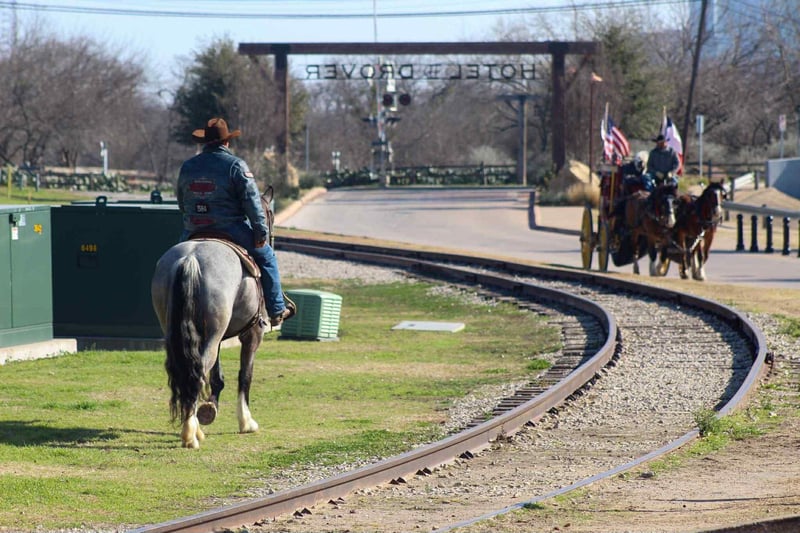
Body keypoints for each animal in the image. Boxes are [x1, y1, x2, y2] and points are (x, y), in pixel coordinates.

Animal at [150, 187, 274, 449]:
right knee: (198, 373)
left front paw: (210, 407)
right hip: (216, 333)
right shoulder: (252, 334)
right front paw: (246, 422)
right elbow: (245, 375)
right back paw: (191, 434)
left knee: (188, 370)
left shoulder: (218, 336)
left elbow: (217, 376)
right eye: (269, 216)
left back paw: (193, 426)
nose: (266, 237)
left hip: (183, 332)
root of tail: (190, 259)